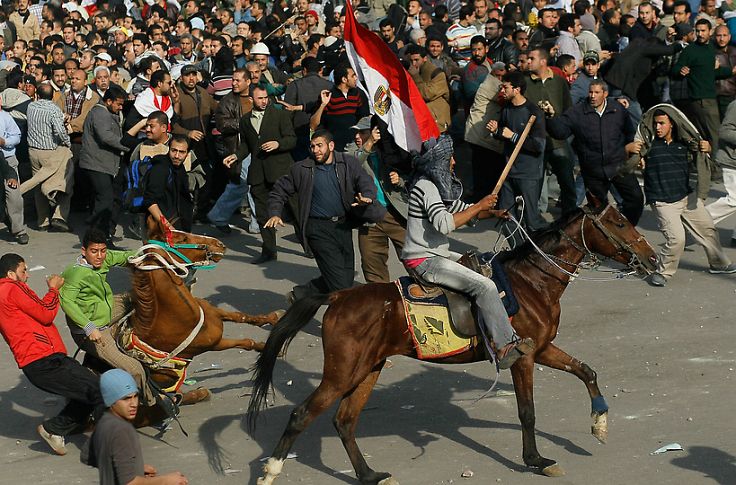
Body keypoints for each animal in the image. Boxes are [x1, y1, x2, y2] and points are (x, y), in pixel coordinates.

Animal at [122, 216, 284, 424]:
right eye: (182, 239)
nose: (219, 244)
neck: (177, 316)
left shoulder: (215, 313)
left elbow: (243, 317)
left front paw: (273, 319)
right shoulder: (215, 344)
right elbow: (245, 342)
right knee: (174, 402)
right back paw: (199, 394)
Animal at [250, 202, 660, 482]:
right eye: (619, 222)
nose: (653, 257)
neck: (531, 282)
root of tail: (337, 296)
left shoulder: (540, 348)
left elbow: (586, 371)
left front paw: (599, 424)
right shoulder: (521, 357)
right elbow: (527, 412)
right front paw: (536, 460)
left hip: (367, 369)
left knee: (345, 422)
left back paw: (369, 475)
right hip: (342, 372)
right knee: (303, 415)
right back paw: (271, 470)